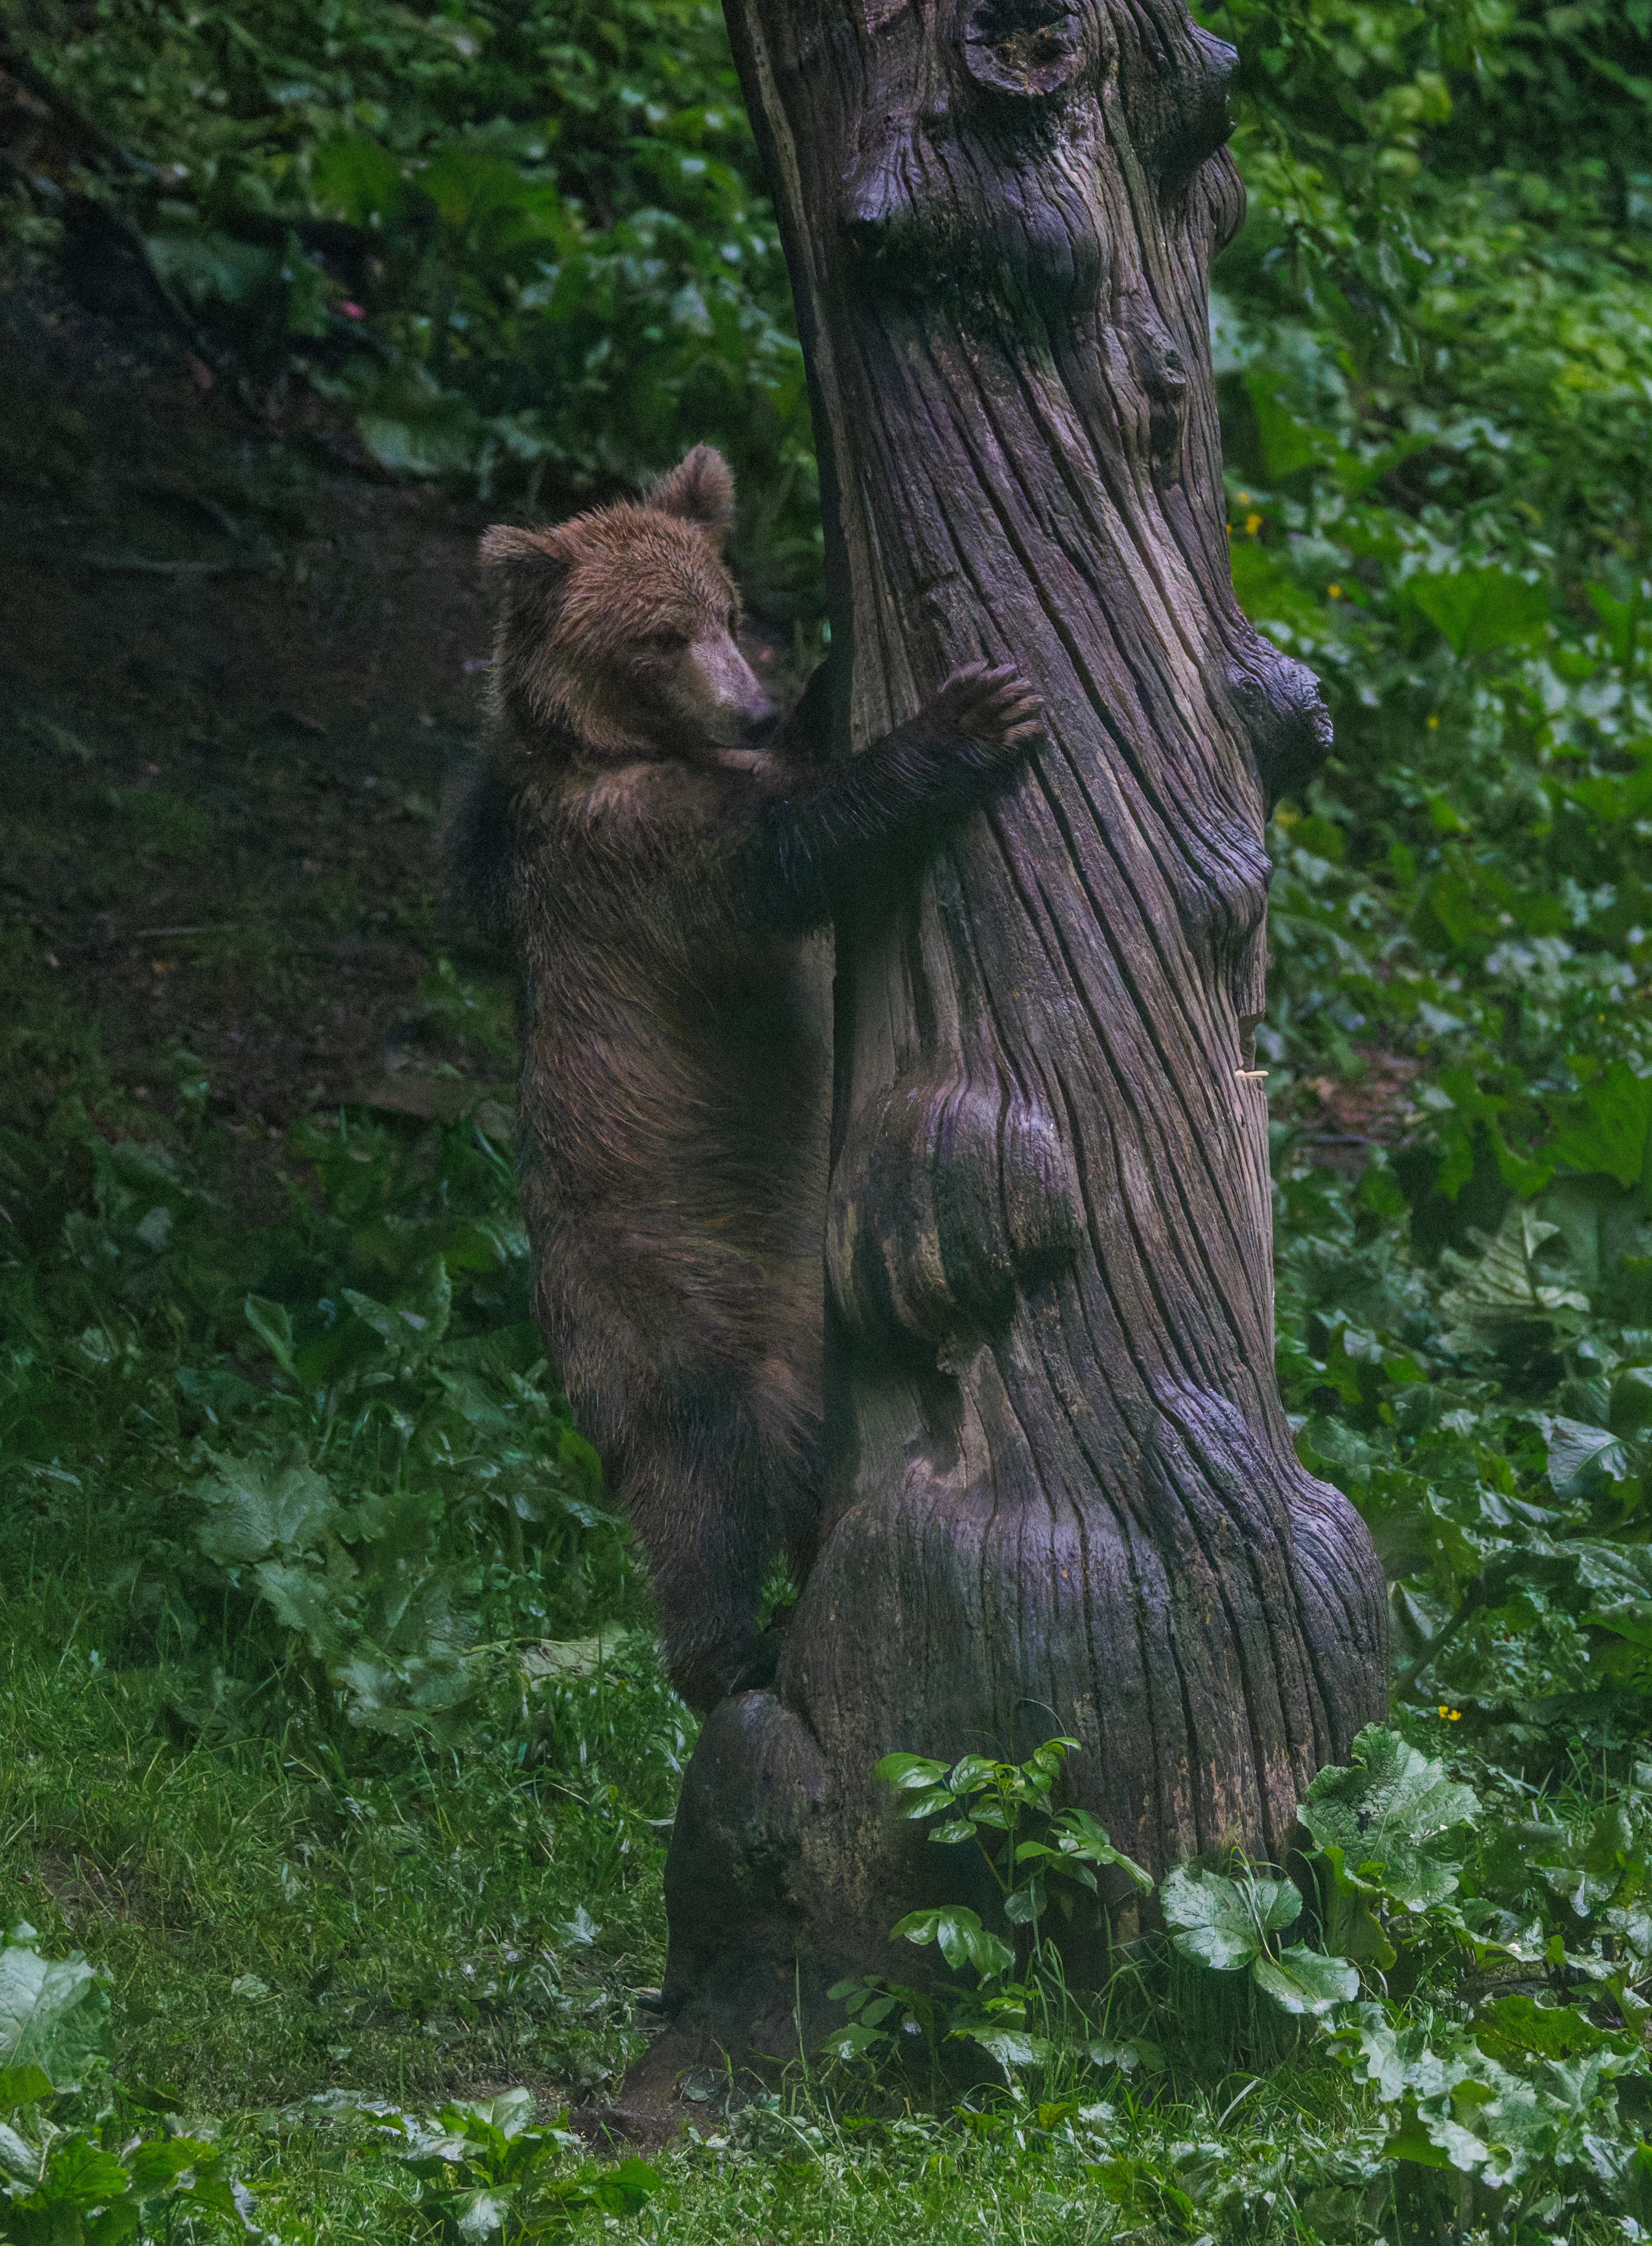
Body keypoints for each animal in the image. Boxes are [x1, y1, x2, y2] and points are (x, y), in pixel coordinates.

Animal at [450, 444, 1041, 1713]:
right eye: (659, 634)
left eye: (726, 611)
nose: (749, 701)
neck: (607, 750)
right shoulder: (642, 860)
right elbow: (797, 845)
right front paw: (971, 714)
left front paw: (825, 681)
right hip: (669, 1303)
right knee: (702, 1482)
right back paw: (731, 1650)